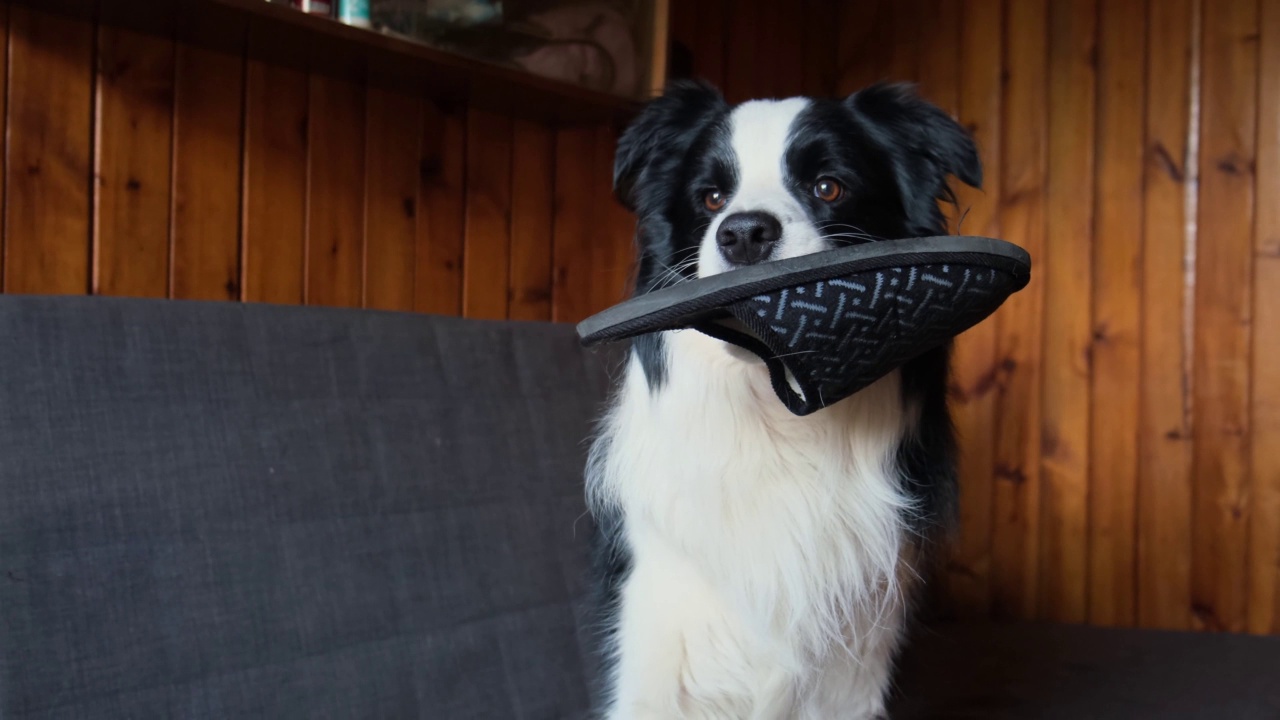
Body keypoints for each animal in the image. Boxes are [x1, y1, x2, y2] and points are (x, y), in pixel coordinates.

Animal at [586, 79, 983, 717]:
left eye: (828, 187)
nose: (744, 232)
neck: (777, 419)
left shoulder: (857, 660)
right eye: (711, 198)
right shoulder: (657, 646)